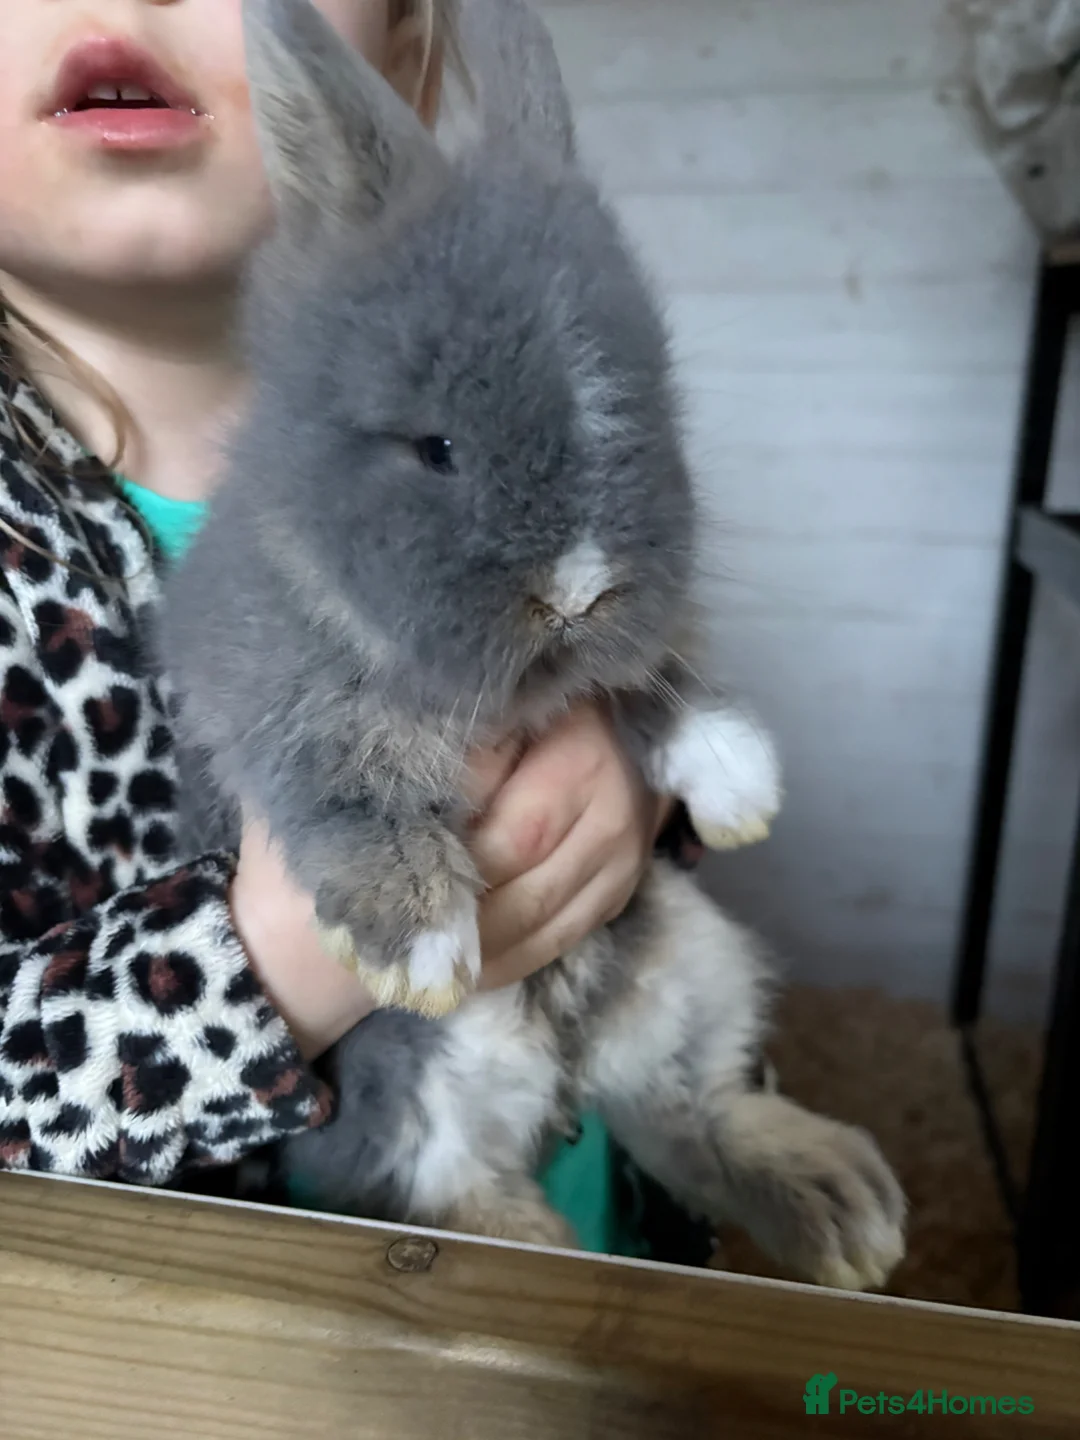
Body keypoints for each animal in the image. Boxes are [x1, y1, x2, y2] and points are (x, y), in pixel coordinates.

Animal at [161, 0, 906, 1289]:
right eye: (438, 449)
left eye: (651, 417)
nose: (578, 589)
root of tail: (568, 1063)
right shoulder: (264, 691)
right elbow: (339, 765)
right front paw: (417, 938)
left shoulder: (626, 661)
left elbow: (655, 675)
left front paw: (737, 781)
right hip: (411, 1091)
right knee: (449, 1200)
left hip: (694, 963)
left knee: (694, 1112)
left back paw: (844, 1213)